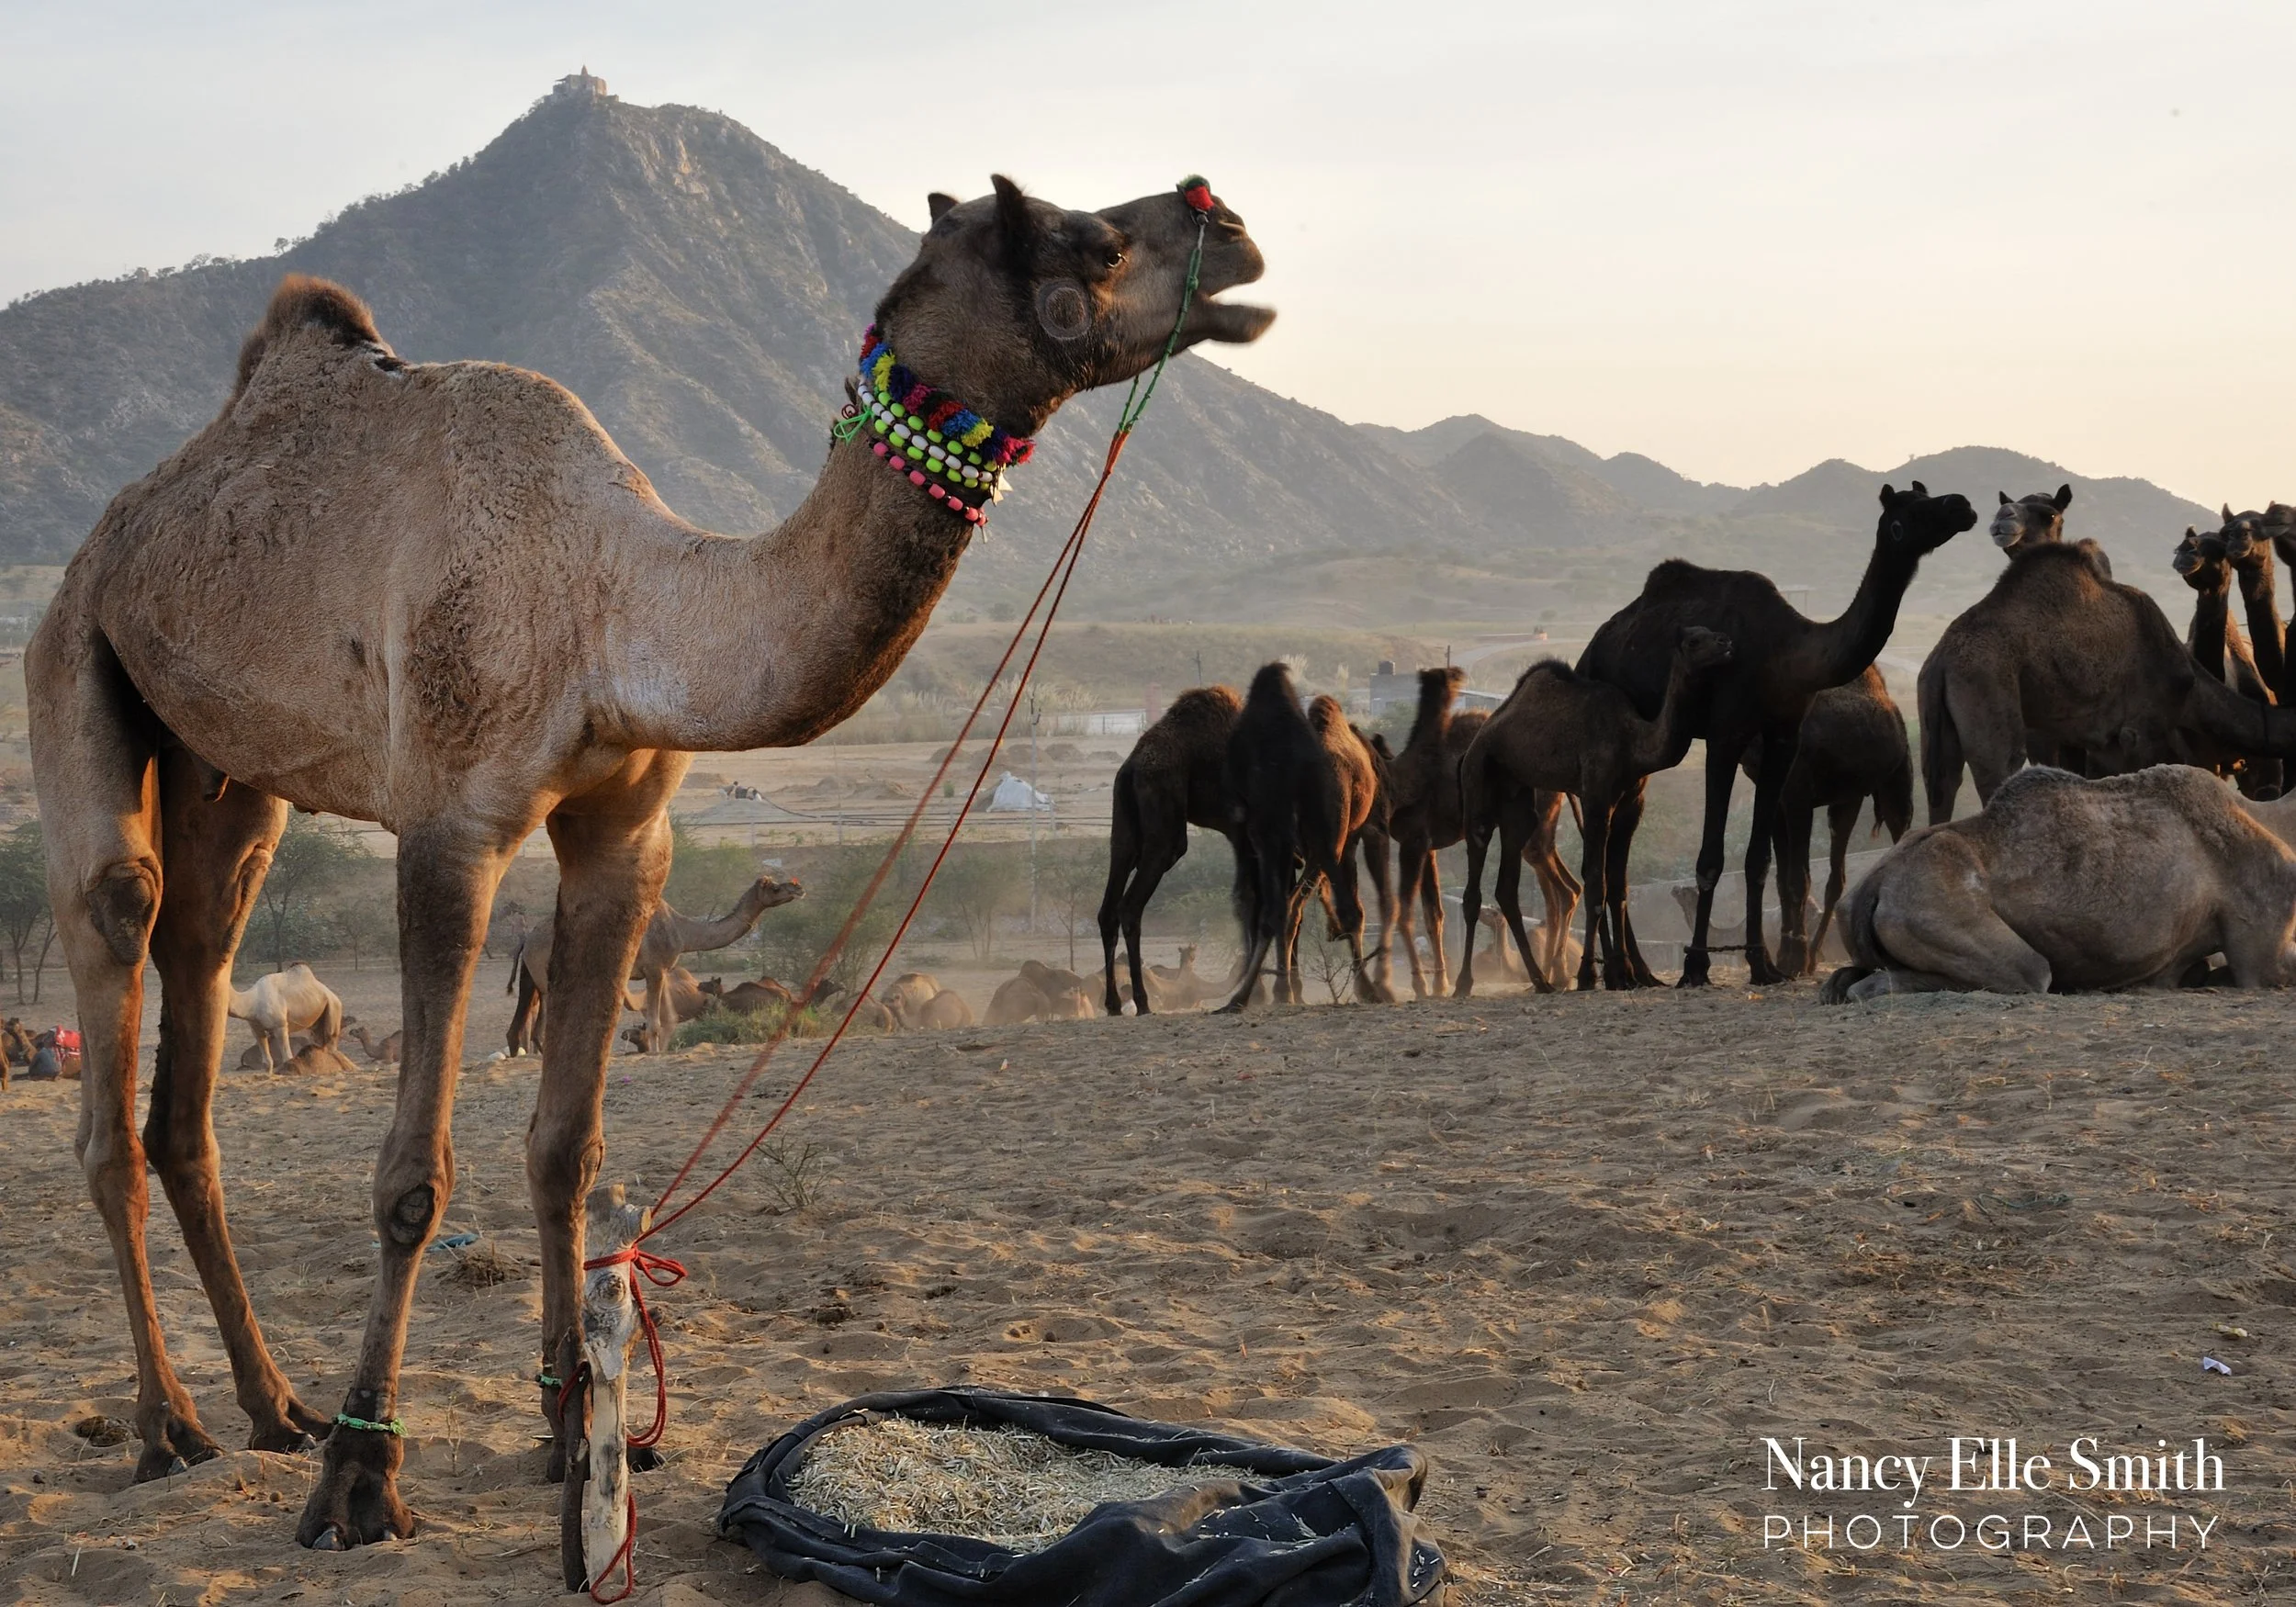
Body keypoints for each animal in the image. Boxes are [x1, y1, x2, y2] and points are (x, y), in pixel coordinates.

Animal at [506, 874, 801, 1055]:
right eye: (775, 888)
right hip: (549, 977)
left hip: (539, 979)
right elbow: (656, 1022)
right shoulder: (656, 969)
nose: (797, 888)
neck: (682, 931)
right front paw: (657, 1052)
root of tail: (528, 939)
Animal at [1096, 685, 1242, 1015]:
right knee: (1130, 906)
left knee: (1108, 909)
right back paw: (1142, 1002)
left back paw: (1113, 1003)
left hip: (1123, 828)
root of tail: (1131, 767)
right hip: (1165, 830)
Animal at [1384, 666, 1579, 996]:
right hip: (1541, 831)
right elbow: (1433, 913)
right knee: (1557, 893)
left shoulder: (1415, 840)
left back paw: (1557, 973)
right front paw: (1439, 984)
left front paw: (1427, 985)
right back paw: (1553, 973)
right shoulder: (1426, 846)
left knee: (1563, 891)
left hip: (1538, 820)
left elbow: (1414, 911)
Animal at [1460, 628, 1736, 990]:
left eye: (1713, 633)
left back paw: (1542, 981)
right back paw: (1464, 983)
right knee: (1474, 875)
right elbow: (1594, 881)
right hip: (1479, 781)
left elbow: (1618, 884)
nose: (1726, 644)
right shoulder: (1595, 796)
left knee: (1508, 883)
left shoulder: (1629, 801)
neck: (1632, 738)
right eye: (1694, 640)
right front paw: (1592, 975)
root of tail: (1482, 732)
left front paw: (1626, 974)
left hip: (1519, 798)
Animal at [1738, 667, 1914, 975]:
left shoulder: (1797, 790)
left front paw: (1795, 959)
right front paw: (1786, 957)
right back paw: (1813, 954)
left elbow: (1798, 878)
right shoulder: (1774, 795)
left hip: (1897, 781)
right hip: (1848, 798)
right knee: (1837, 878)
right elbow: (1782, 880)